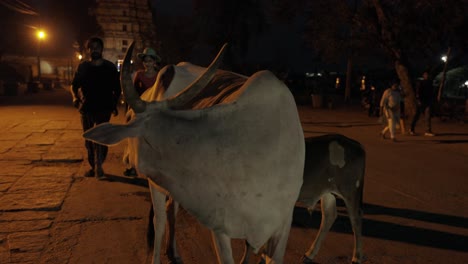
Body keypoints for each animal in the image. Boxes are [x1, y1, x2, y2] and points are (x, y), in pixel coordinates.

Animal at [82, 41, 306, 264]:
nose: (127, 160)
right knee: (159, 221)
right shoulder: (220, 228)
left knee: (169, 211)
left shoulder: (282, 226)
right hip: (158, 185)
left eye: (128, 119)